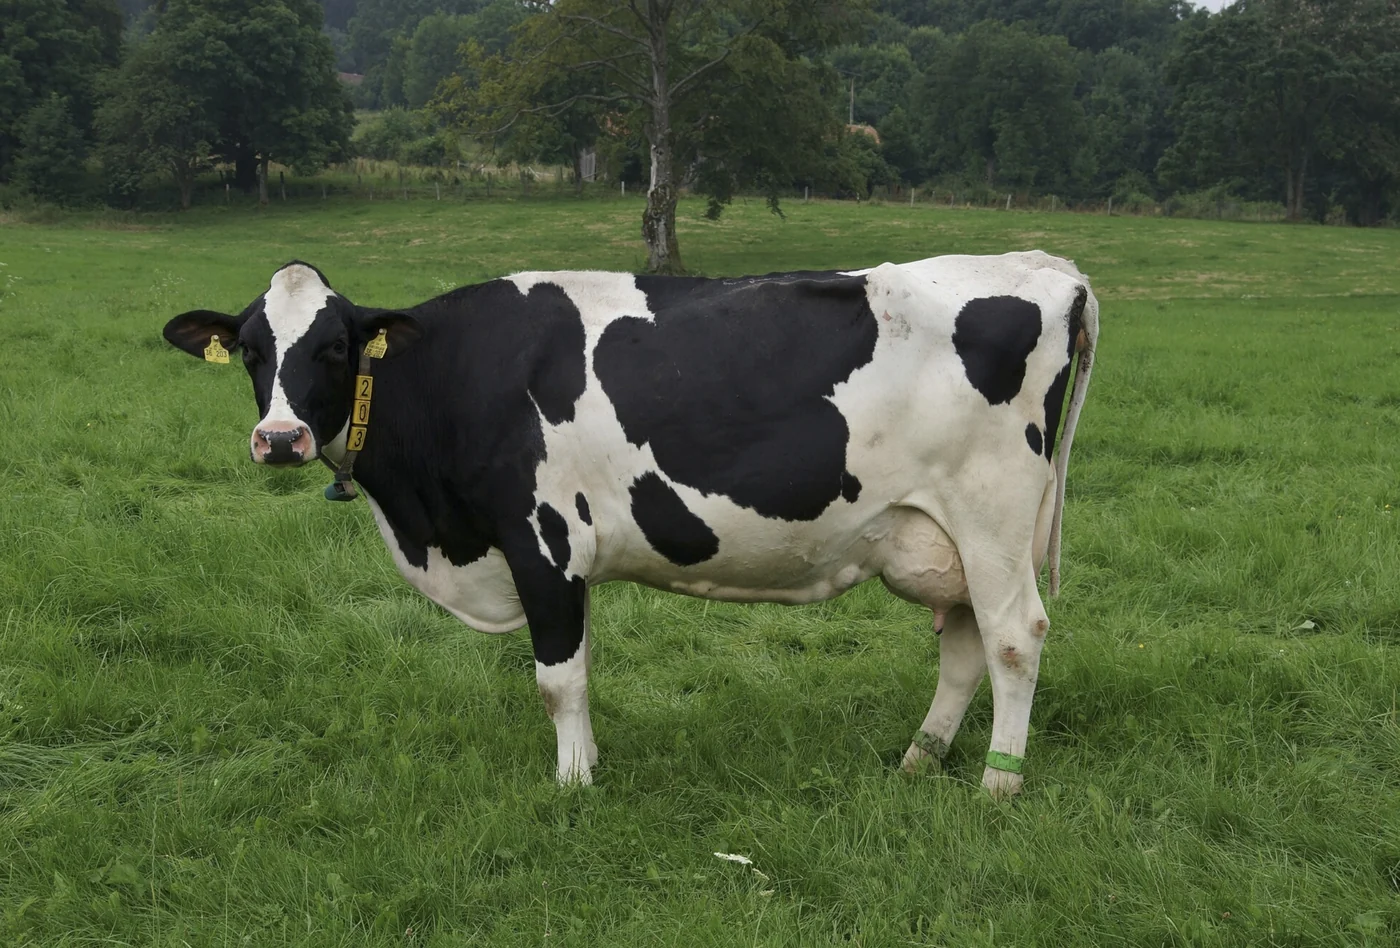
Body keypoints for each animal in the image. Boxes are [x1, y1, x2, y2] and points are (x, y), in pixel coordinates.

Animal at [163, 251, 1098, 797]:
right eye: (251, 350)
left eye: (333, 348)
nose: (279, 438)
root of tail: (1045, 266)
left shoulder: (542, 541)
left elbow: (557, 681)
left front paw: (575, 785)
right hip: (944, 535)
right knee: (965, 642)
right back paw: (920, 758)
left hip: (993, 515)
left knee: (1015, 636)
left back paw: (997, 786)